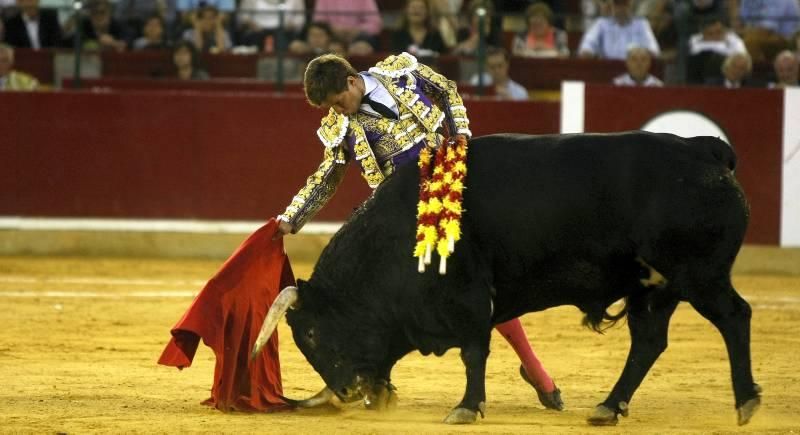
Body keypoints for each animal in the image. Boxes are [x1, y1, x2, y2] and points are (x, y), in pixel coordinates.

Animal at [253, 132, 760, 426]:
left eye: (311, 334)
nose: (347, 391)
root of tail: (706, 150)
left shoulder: (469, 296)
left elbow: (474, 352)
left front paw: (466, 407)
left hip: (699, 275)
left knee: (735, 317)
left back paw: (745, 403)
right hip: (652, 286)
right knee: (649, 342)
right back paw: (608, 406)